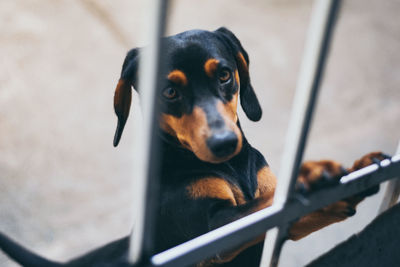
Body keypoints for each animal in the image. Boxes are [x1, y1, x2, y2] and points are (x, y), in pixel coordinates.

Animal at [0, 27, 388, 267]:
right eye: (169, 92)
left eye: (225, 75)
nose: (225, 143)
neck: (232, 169)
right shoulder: (215, 228)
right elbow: (263, 208)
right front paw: (315, 179)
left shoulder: (274, 231)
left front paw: (357, 171)